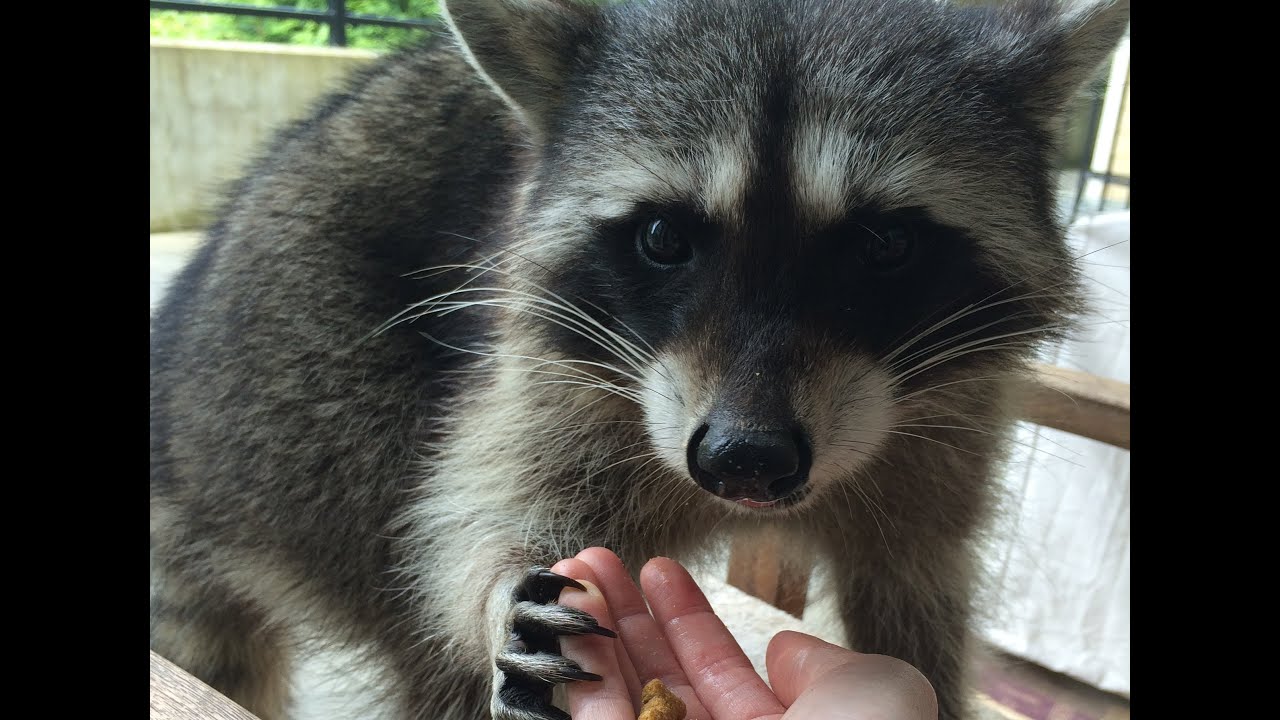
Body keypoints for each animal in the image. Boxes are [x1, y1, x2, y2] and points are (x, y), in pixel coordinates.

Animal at [149, 0, 1130, 718]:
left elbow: (917, 588)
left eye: (884, 245)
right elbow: (473, 515)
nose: (744, 460)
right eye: (663, 239)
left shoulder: (947, 419)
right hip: (295, 395)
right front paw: (497, 582)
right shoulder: (544, 363)